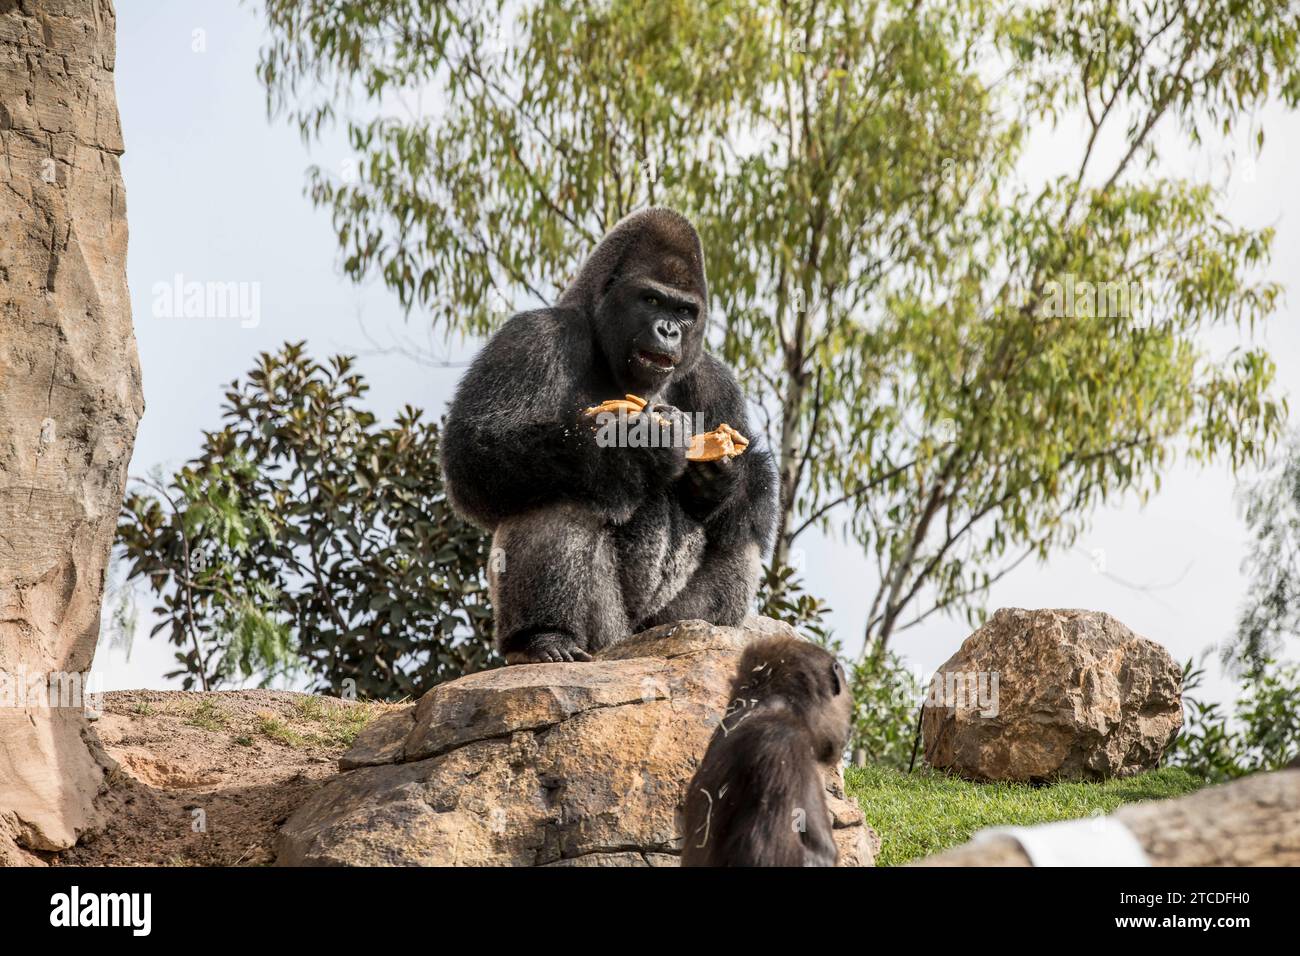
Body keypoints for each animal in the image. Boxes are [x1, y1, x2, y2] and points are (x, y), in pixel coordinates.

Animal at [441, 208, 774, 665]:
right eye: (650, 300)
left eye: (685, 311)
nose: (668, 330)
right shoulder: (534, 335)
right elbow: (476, 451)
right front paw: (637, 447)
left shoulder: (716, 377)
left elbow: (749, 481)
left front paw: (719, 479)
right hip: (605, 638)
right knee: (564, 487)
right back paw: (543, 637)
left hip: (655, 629)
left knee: (741, 528)